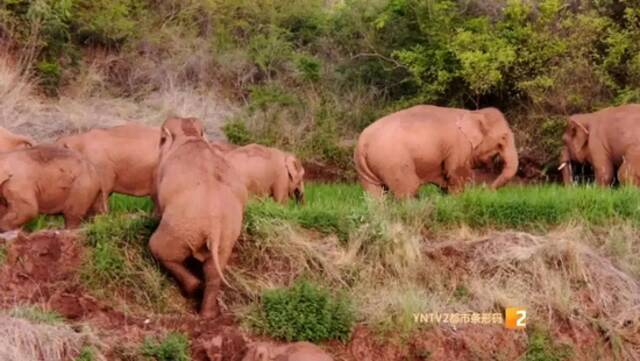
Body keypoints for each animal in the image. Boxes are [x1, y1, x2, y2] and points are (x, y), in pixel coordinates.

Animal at [150, 116, 248, 316]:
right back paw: (208, 314)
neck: (191, 136)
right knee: (213, 269)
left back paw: (194, 288)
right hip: (227, 235)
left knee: (158, 249)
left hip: (179, 227)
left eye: (162, 139)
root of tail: (215, 226)